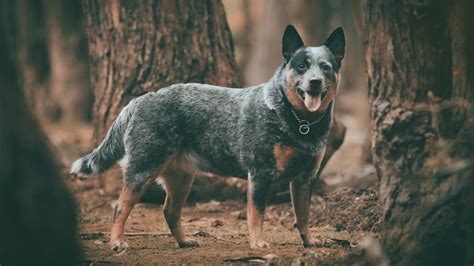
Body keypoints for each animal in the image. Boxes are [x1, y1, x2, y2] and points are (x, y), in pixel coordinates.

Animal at [71, 25, 344, 251]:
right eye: (302, 65)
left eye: (326, 67)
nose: (315, 82)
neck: (300, 123)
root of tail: (137, 101)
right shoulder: (260, 173)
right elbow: (257, 214)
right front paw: (257, 244)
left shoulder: (305, 178)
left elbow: (304, 215)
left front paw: (309, 241)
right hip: (143, 168)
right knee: (121, 206)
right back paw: (117, 243)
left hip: (181, 177)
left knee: (170, 211)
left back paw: (184, 241)